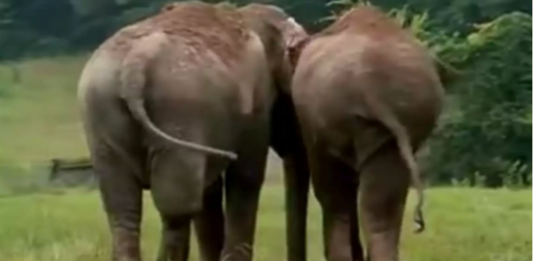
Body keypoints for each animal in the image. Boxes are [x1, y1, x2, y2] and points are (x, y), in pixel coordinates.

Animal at [76, 1, 306, 258]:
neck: (247, 14)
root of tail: (134, 66)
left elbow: (211, 191)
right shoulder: (256, 102)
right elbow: (246, 177)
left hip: (102, 110)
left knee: (123, 207)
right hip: (179, 110)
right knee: (177, 207)